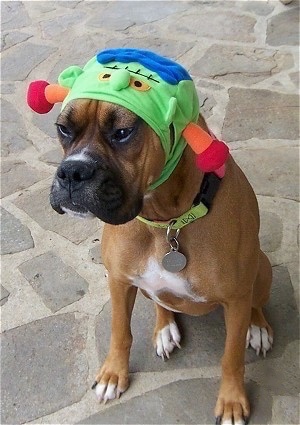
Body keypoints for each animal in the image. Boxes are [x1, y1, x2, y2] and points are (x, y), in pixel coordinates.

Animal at [49, 97, 274, 424]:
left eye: (123, 132)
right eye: (63, 128)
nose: (72, 171)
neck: (166, 221)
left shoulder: (235, 299)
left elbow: (231, 357)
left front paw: (232, 401)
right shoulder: (119, 281)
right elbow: (120, 331)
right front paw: (113, 375)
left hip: (262, 269)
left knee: (256, 303)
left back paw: (257, 327)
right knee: (160, 301)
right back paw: (164, 328)